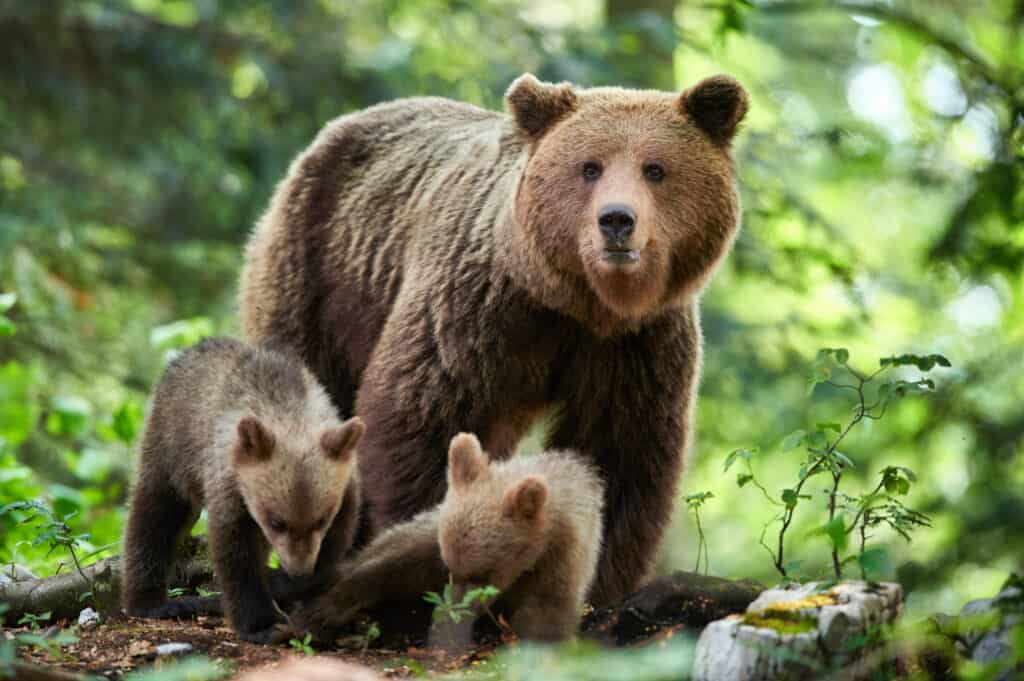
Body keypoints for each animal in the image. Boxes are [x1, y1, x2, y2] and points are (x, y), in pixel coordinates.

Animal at [121, 337, 364, 642]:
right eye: (277, 521)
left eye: (321, 520)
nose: (299, 571)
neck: (290, 410)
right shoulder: (229, 484)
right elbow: (236, 553)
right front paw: (262, 623)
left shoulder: (345, 488)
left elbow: (335, 544)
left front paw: (287, 585)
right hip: (170, 444)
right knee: (154, 513)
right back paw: (152, 601)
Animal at [240, 72, 748, 608]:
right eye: (590, 167)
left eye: (655, 168)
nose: (616, 220)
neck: (576, 303)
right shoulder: (476, 312)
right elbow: (424, 420)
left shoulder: (635, 345)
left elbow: (619, 451)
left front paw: (596, 580)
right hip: (320, 275)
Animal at [289, 433, 604, 644]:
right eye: (451, 568)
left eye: (484, 574)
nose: (454, 612)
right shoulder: (432, 538)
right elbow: (388, 565)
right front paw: (315, 613)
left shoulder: (561, 564)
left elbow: (546, 616)